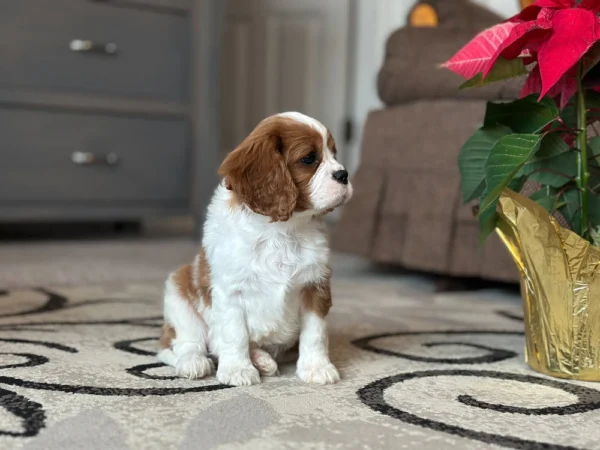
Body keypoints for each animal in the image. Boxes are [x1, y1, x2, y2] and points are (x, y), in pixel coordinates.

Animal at [158, 112, 352, 386]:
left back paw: (261, 359)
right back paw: (194, 362)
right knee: (179, 344)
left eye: (334, 154)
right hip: (179, 291)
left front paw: (316, 367)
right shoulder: (230, 291)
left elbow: (315, 333)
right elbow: (235, 334)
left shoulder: (315, 285)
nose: (344, 174)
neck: (281, 230)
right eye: (309, 159)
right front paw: (237, 370)